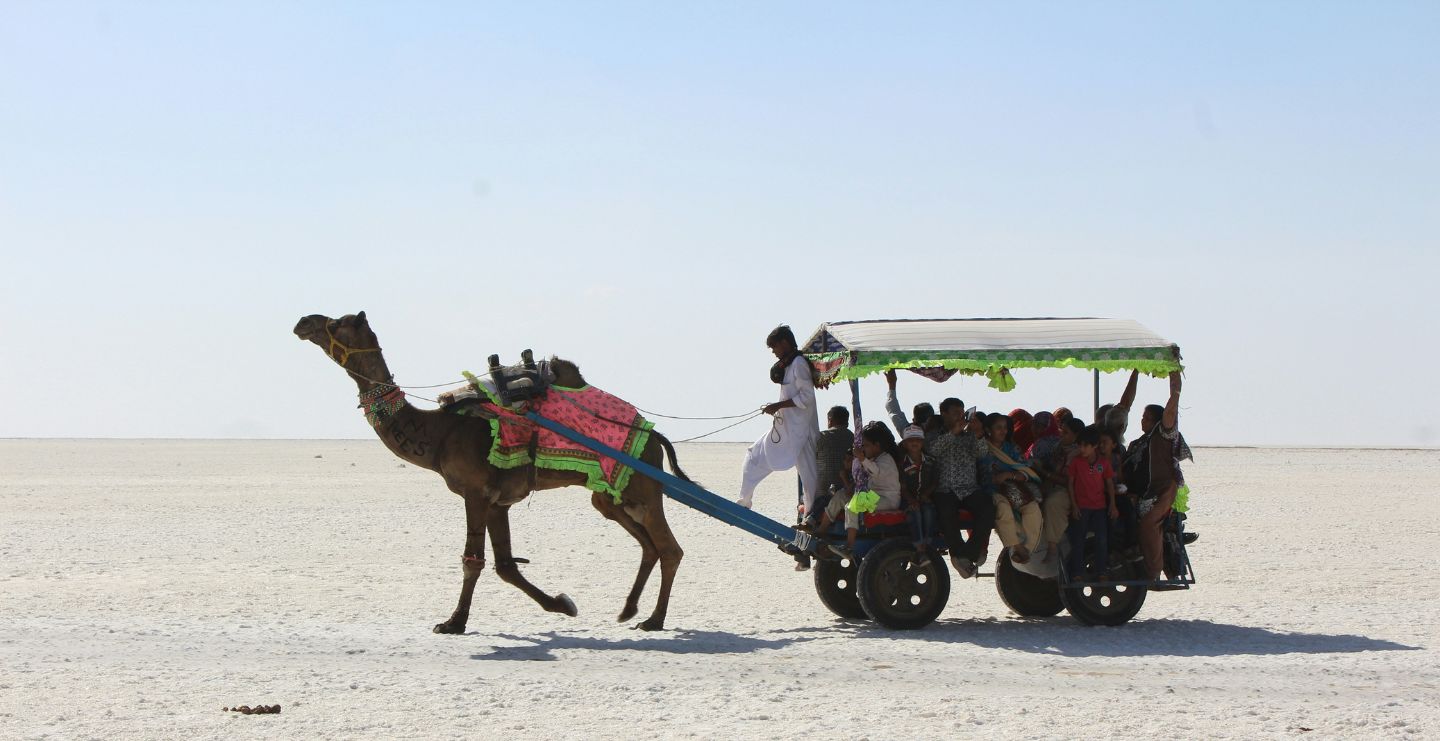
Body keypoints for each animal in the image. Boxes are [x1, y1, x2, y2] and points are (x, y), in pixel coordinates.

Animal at [292, 312, 685, 633]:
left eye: (335, 323)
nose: (303, 322)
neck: (438, 434)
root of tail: (653, 435)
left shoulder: (476, 493)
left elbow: (474, 562)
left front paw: (453, 622)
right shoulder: (499, 502)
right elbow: (505, 566)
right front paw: (562, 605)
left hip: (642, 485)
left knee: (670, 549)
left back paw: (654, 620)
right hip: (609, 496)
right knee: (649, 545)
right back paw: (629, 610)